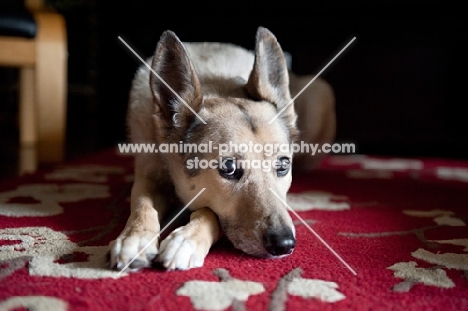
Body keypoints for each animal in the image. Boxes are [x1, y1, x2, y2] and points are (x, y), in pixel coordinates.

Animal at [109, 26, 336, 270]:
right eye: (229, 168)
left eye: (283, 165)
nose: (284, 244)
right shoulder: (149, 174)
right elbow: (142, 203)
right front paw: (134, 238)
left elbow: (209, 212)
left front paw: (185, 241)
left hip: (321, 92)